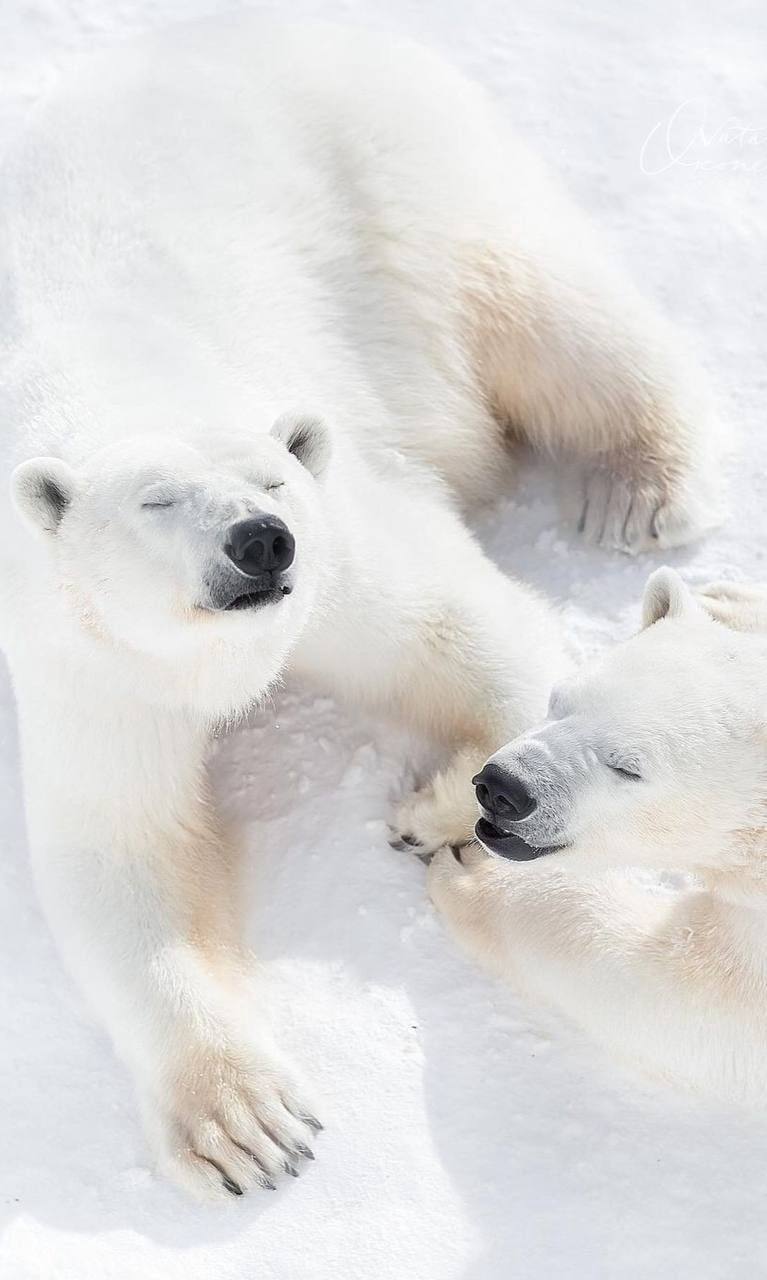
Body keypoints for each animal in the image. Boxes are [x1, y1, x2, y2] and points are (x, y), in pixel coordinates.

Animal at [0, 18, 721, 1198]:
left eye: (273, 478)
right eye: (157, 500)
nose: (259, 540)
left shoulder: (340, 550)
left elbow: (469, 633)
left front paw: (432, 808)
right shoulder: (87, 658)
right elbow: (121, 848)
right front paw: (247, 1128)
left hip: (397, 183)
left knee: (547, 311)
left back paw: (634, 487)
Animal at [429, 570, 767, 1104]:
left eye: (628, 767)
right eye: (558, 700)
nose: (503, 788)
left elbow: (674, 985)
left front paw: (471, 876)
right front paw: (722, 598)